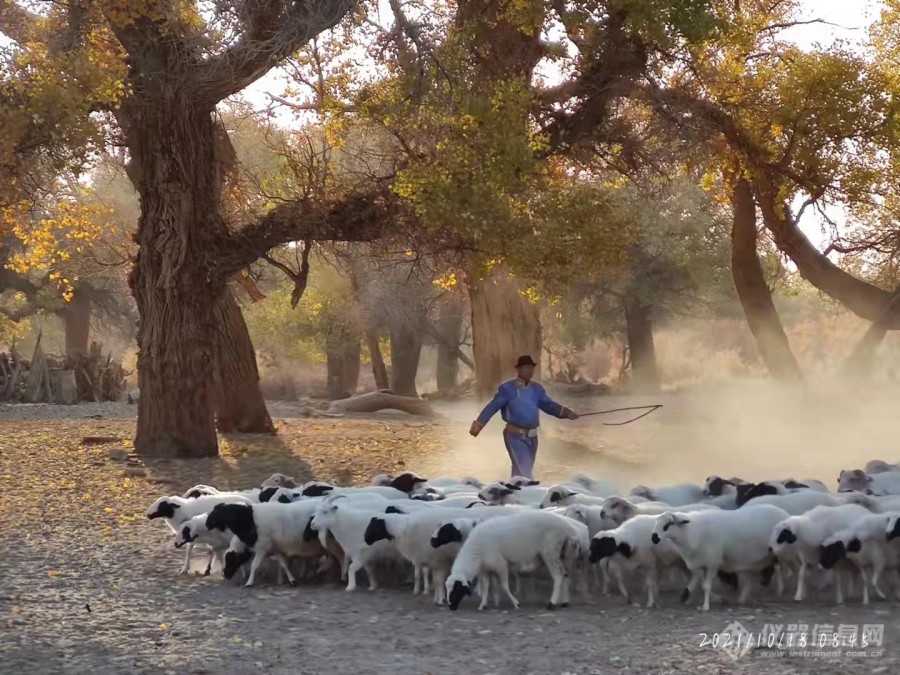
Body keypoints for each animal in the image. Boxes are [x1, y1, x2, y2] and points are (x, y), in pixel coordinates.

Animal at [444, 512, 592, 612]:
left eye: (457, 589)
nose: (451, 607)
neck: (475, 554)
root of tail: (569, 528)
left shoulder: (501, 565)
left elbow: (504, 586)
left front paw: (516, 603)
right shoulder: (486, 569)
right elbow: (485, 588)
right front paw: (483, 605)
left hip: (549, 551)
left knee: (559, 576)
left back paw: (551, 603)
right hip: (560, 554)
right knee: (565, 575)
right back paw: (564, 602)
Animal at [648, 508, 788, 612]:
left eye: (669, 523)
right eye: (657, 522)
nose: (654, 538)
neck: (692, 533)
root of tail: (784, 513)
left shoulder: (712, 563)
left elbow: (707, 586)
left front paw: (705, 606)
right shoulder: (701, 563)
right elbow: (699, 583)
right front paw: (688, 597)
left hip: (777, 553)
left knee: (778, 568)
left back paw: (780, 590)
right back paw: (743, 598)